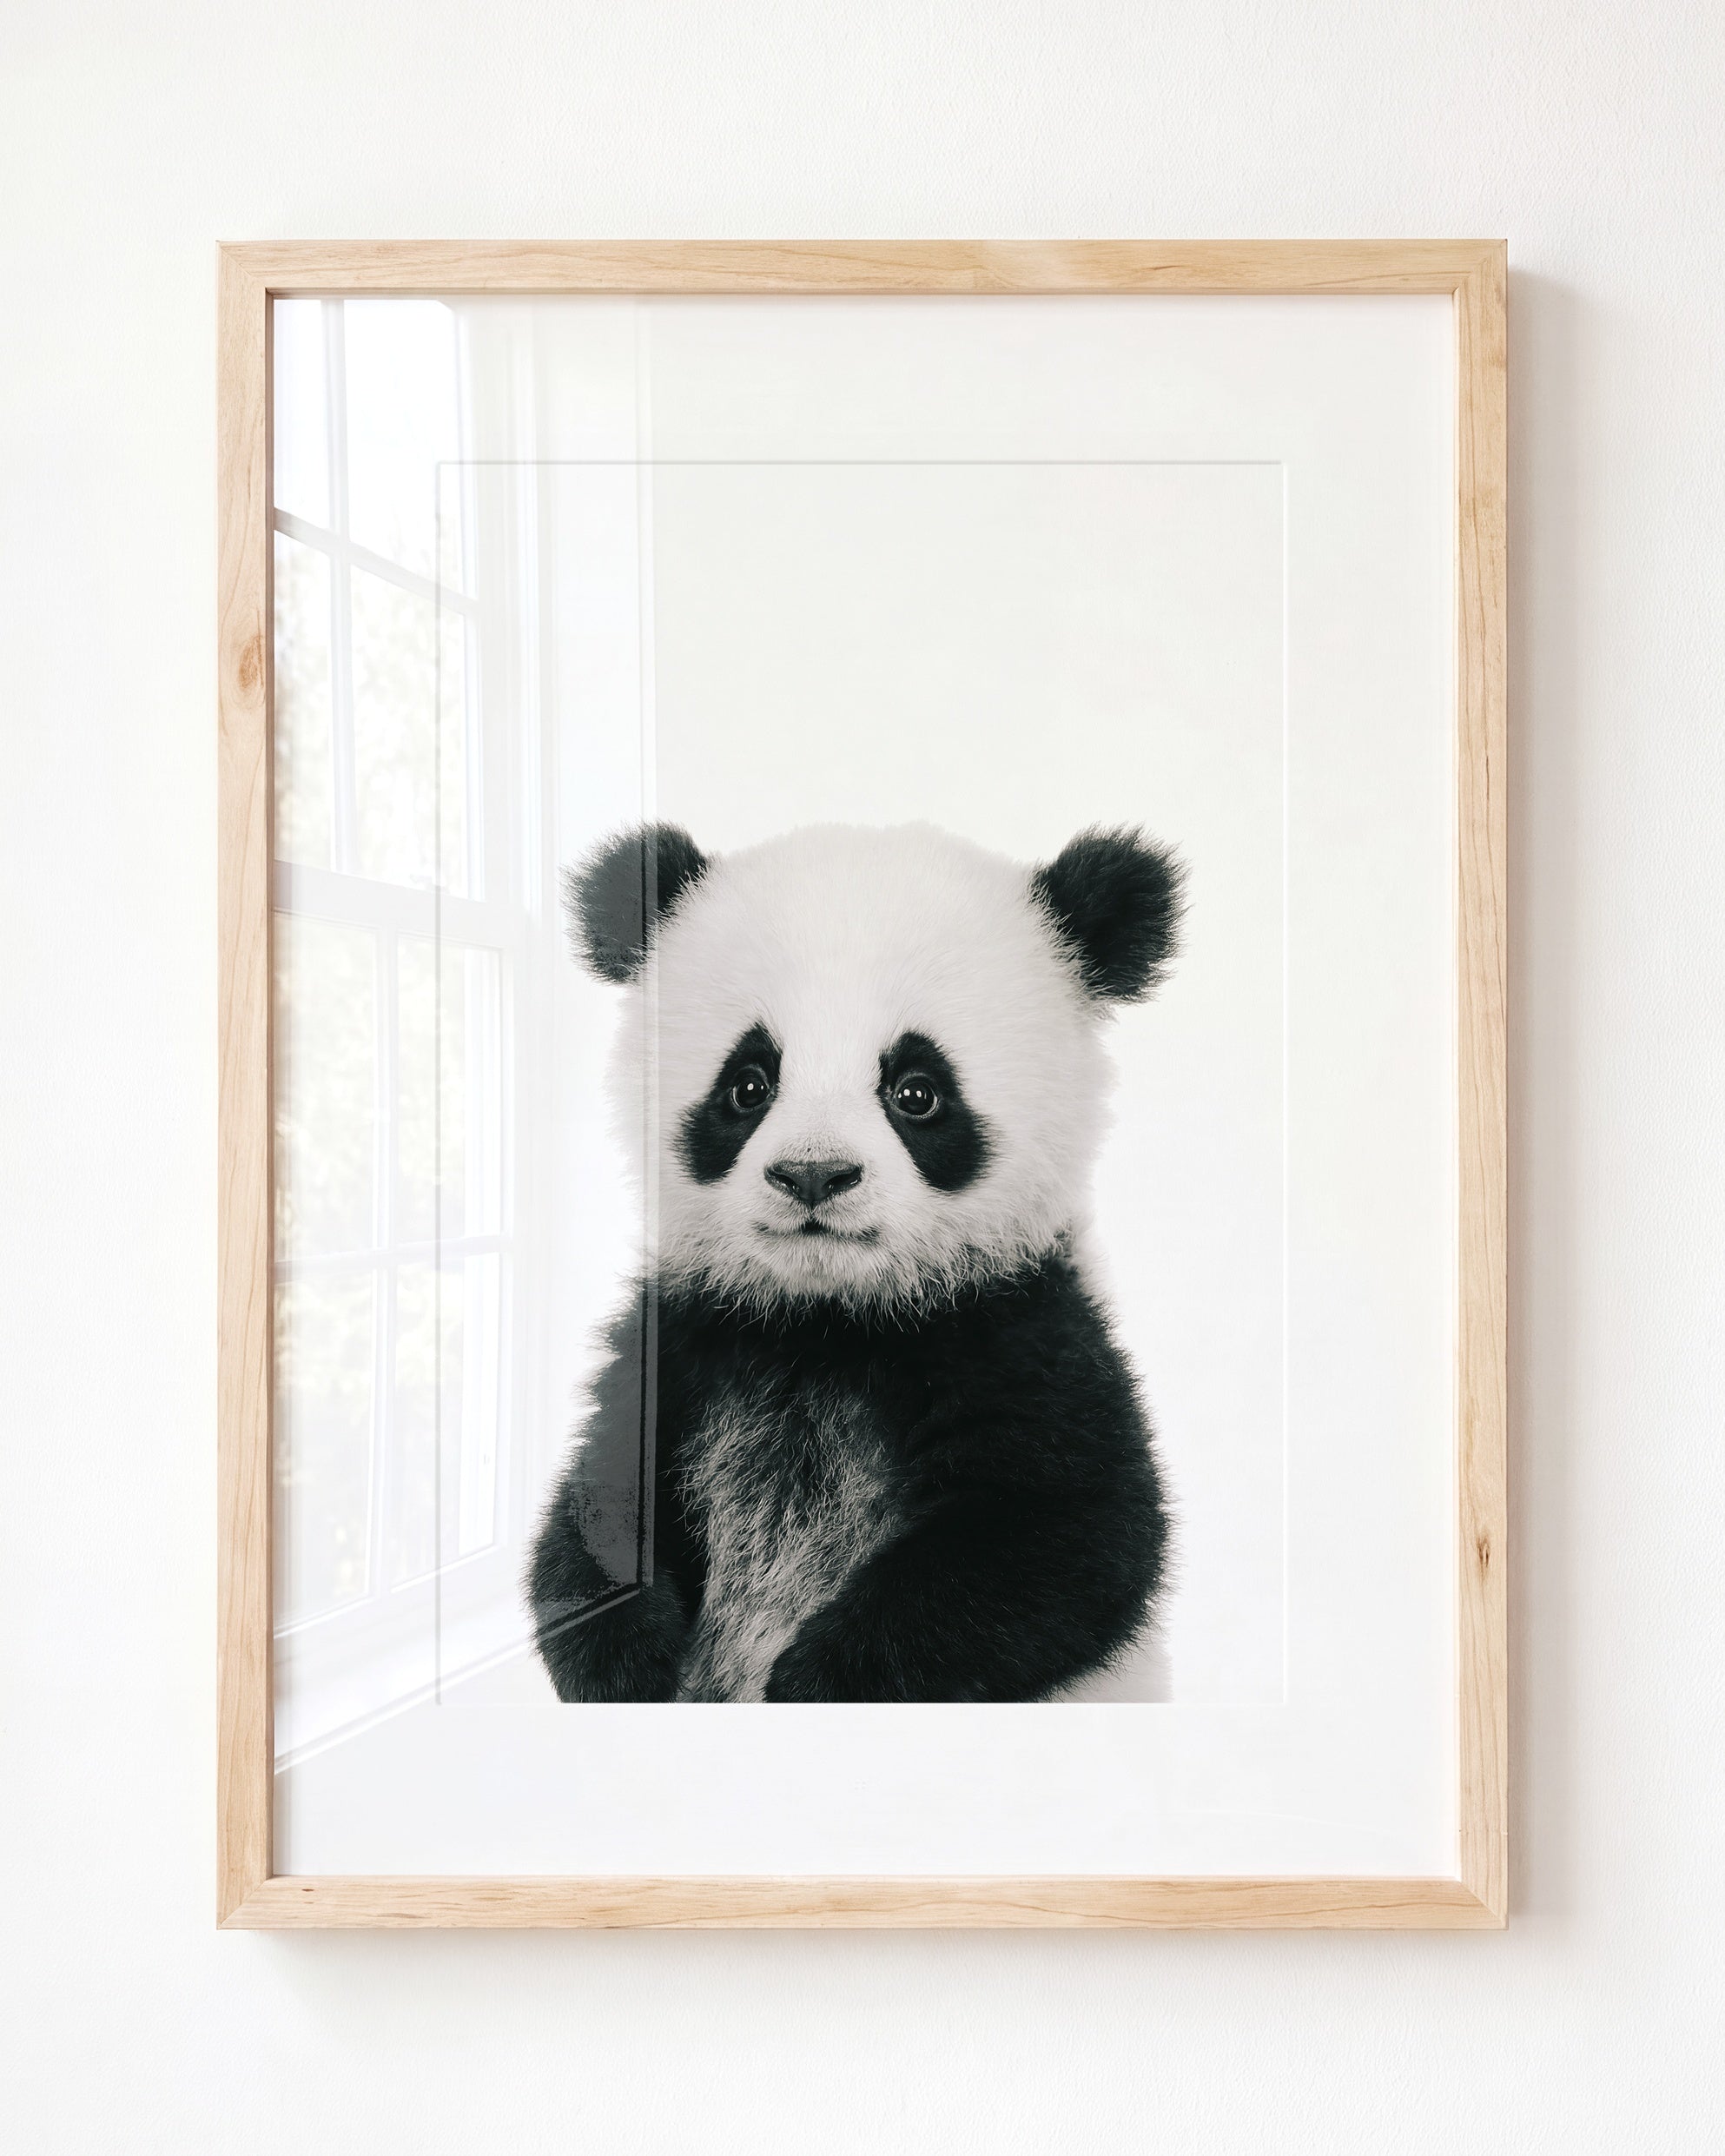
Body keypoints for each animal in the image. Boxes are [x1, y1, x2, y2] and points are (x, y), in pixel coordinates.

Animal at [528, 818, 1183, 1703]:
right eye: (748, 1085)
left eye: (917, 1091)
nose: (814, 1174)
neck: (828, 1320)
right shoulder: (686, 1337)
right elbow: (594, 1511)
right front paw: (627, 1663)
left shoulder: (1022, 1332)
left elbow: (1069, 1535)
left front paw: (815, 1681)